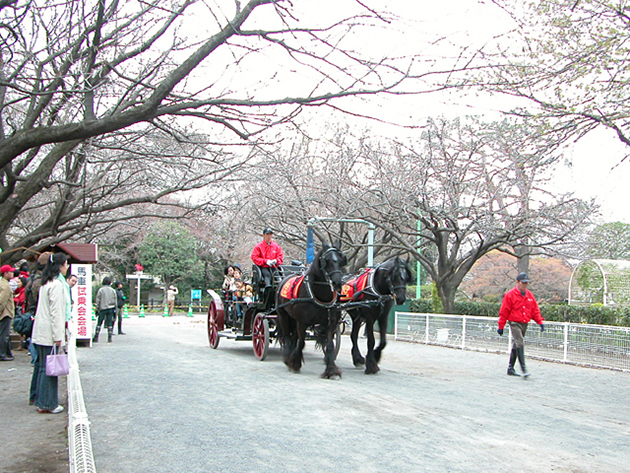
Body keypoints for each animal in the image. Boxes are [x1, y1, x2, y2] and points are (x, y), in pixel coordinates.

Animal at [276, 243, 348, 376]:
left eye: (341, 260)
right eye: (326, 261)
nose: (337, 283)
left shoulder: (330, 323)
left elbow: (330, 345)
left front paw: (332, 370)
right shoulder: (302, 322)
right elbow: (301, 342)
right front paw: (295, 364)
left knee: (294, 336)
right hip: (283, 315)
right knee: (287, 336)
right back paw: (288, 358)